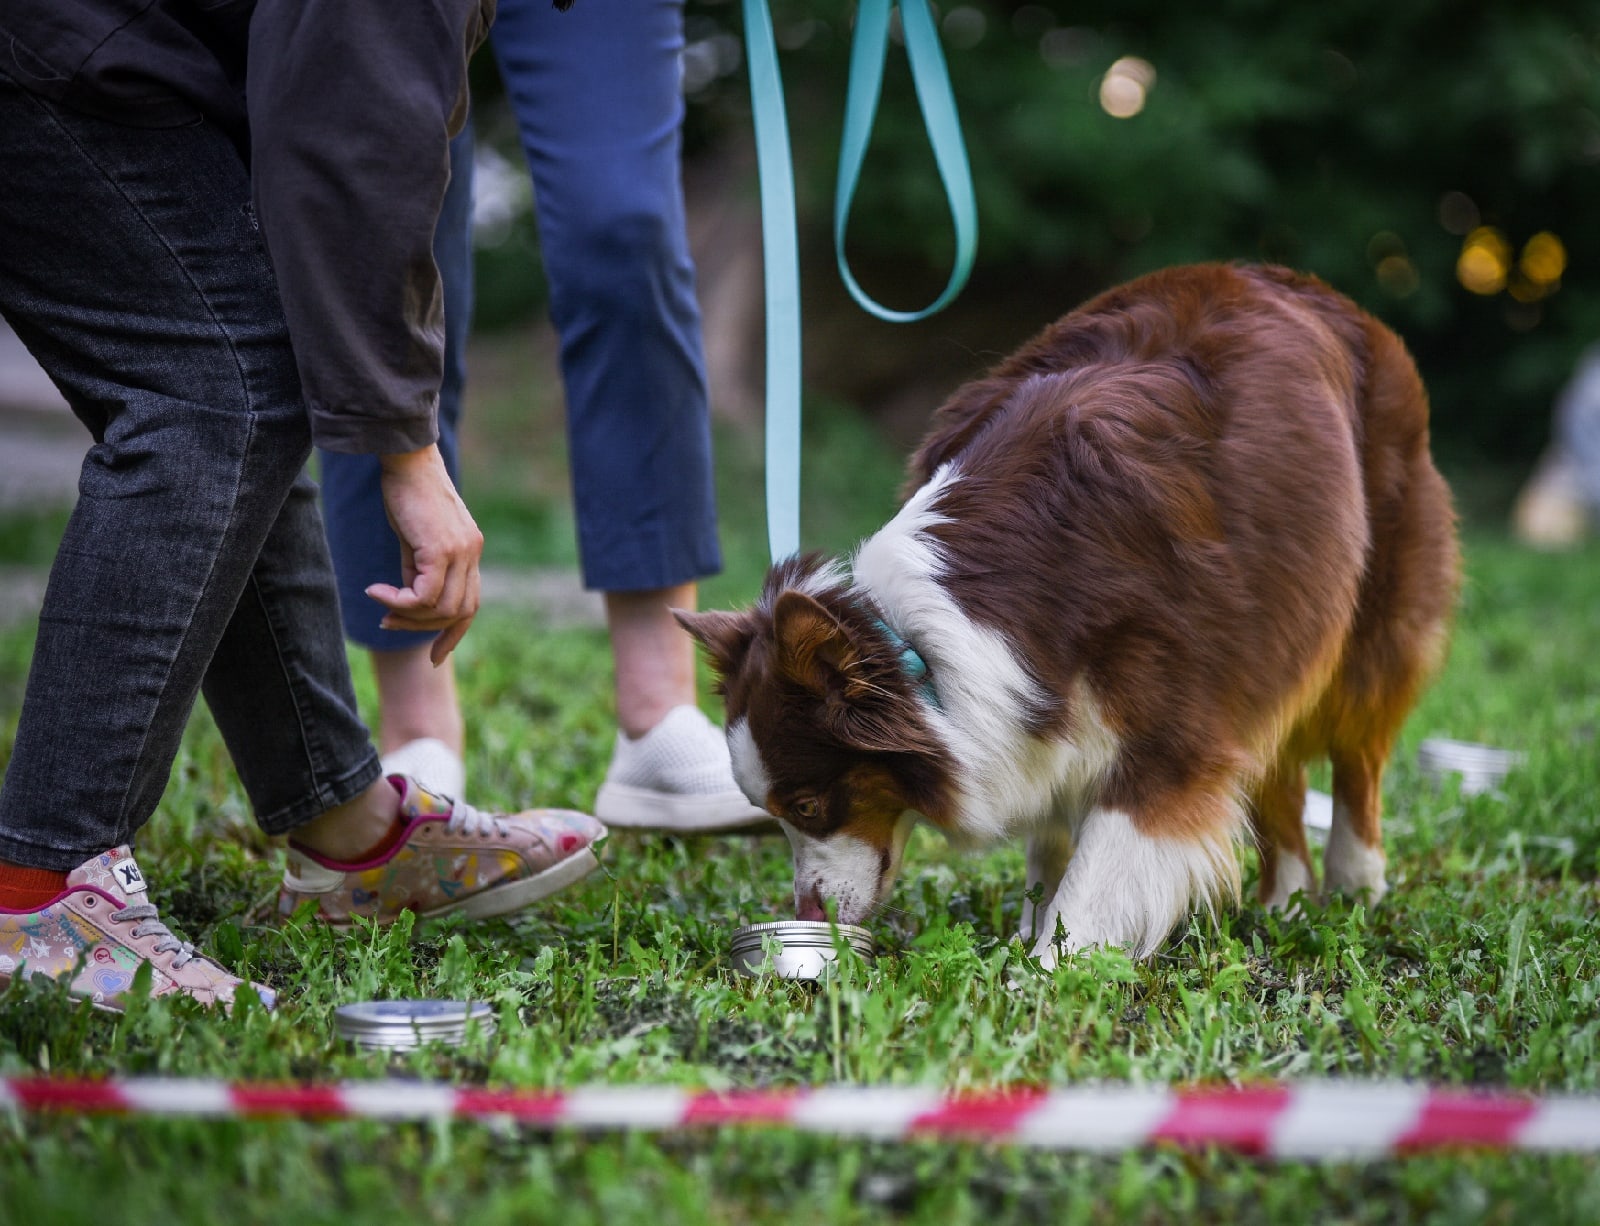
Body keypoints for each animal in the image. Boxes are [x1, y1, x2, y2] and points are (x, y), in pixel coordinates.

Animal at [681, 264, 1459, 966]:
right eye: (775, 814)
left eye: (809, 806)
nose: (809, 913)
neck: (920, 642)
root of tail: (1315, 289)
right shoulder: (1041, 708)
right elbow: (1051, 834)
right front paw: (1029, 928)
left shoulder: (1177, 708)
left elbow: (1109, 857)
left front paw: (1048, 969)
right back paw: (1286, 900)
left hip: (1368, 606)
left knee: (1359, 750)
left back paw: (1355, 882)